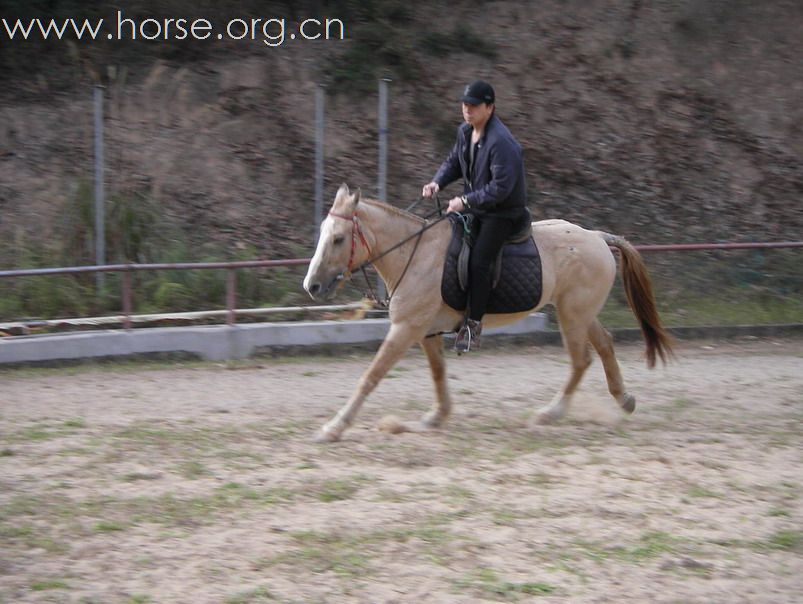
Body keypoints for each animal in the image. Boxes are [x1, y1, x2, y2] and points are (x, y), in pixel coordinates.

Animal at [304, 182, 672, 442]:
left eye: (338, 239)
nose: (312, 286)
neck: (416, 254)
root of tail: (597, 237)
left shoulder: (405, 328)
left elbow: (371, 376)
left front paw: (334, 427)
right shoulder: (425, 331)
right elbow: (438, 374)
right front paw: (436, 417)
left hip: (573, 316)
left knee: (581, 359)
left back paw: (550, 413)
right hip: (579, 314)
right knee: (605, 345)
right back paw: (623, 400)